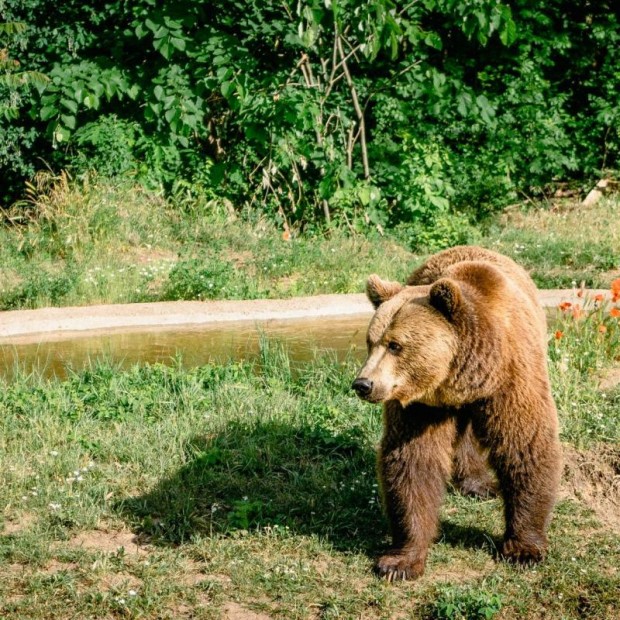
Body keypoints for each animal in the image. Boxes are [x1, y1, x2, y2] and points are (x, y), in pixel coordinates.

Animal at [354, 246, 560, 580]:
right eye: (371, 343)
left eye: (395, 345)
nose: (363, 384)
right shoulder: (420, 405)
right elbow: (413, 461)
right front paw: (399, 562)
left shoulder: (512, 378)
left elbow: (523, 444)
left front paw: (523, 549)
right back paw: (474, 481)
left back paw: (481, 485)